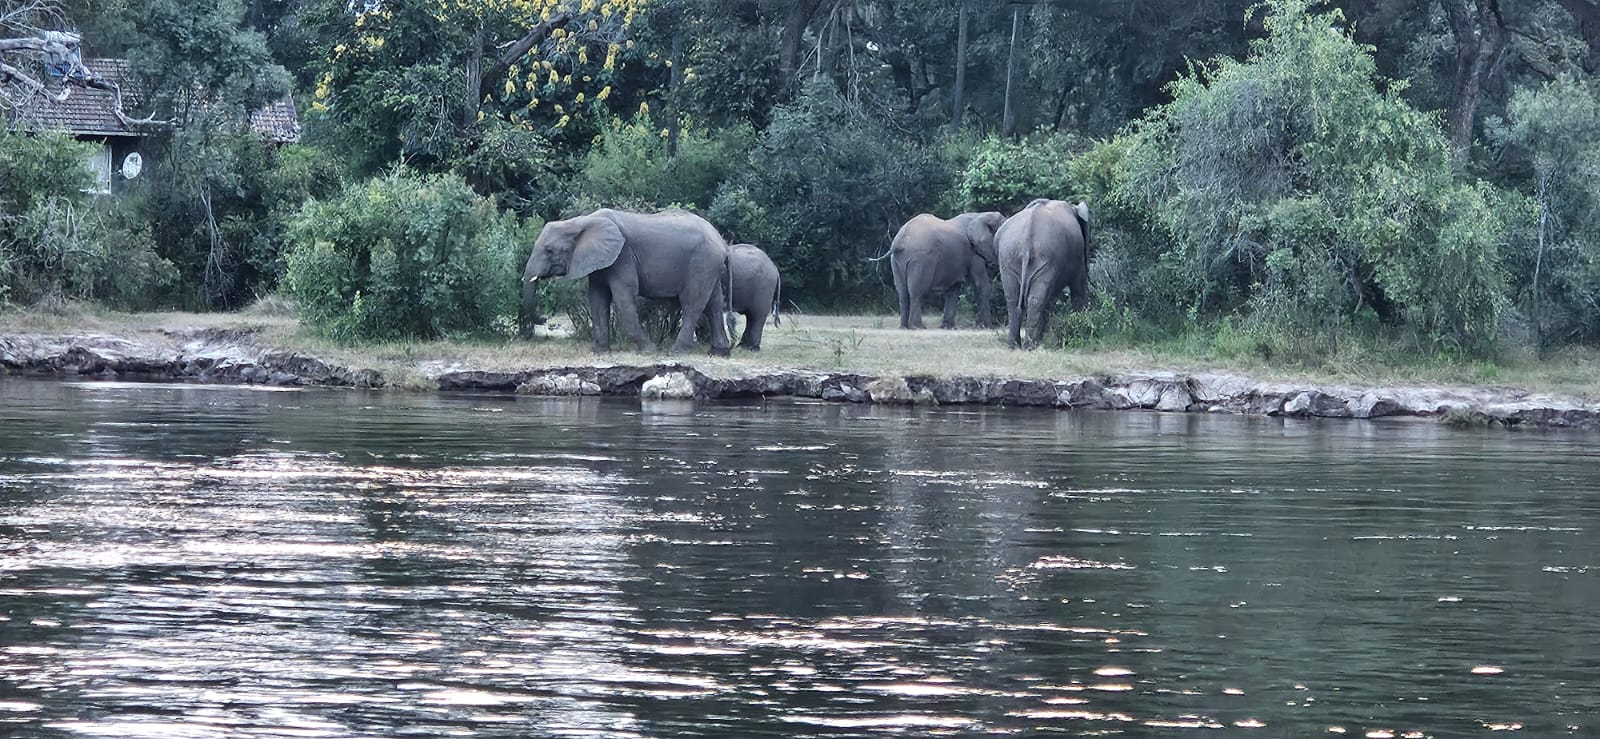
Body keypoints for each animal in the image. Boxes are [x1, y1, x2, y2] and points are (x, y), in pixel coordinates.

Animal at [523, 208, 732, 355]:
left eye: (549, 250)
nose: (544, 318)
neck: (580, 221)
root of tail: (722, 243)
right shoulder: (600, 261)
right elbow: (597, 298)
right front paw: (601, 352)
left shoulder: (622, 255)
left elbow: (623, 297)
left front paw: (648, 351)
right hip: (709, 265)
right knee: (714, 304)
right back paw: (718, 353)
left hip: (702, 262)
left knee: (692, 303)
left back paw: (676, 352)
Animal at [997, 198, 1090, 349]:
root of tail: (1026, 240)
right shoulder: (1078, 256)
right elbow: (1079, 287)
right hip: (1042, 257)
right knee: (1036, 299)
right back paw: (1030, 347)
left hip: (1008, 257)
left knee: (1014, 299)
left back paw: (1015, 346)